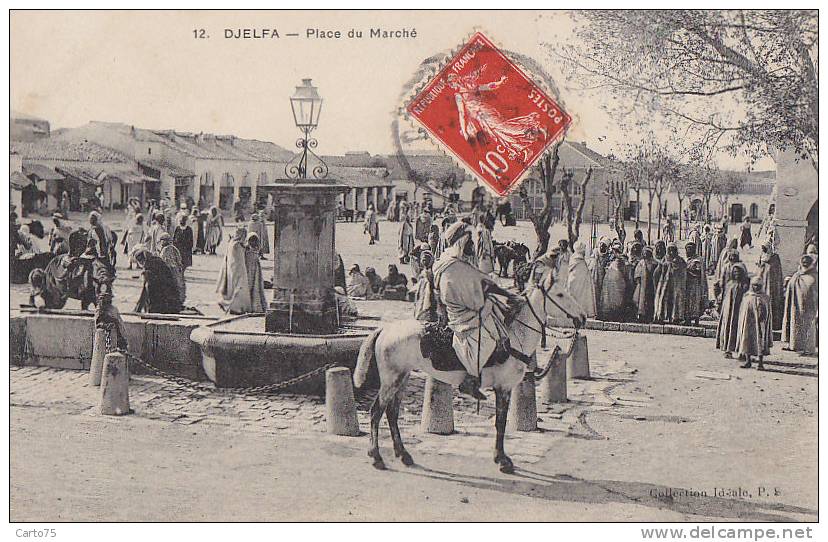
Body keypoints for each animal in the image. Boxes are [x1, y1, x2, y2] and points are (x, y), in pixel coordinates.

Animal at [352, 258, 584, 474]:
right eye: (560, 295)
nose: (581, 317)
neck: (515, 336)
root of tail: (384, 329)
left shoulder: (505, 389)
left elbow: (501, 423)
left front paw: (500, 457)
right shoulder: (503, 388)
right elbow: (500, 423)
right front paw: (503, 460)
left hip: (403, 377)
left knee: (392, 413)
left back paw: (403, 454)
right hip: (392, 380)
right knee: (376, 412)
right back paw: (376, 456)